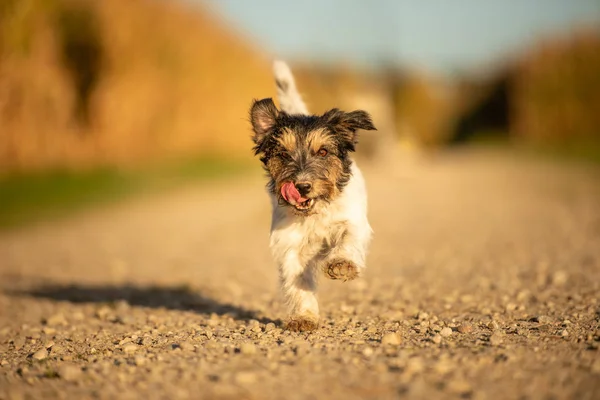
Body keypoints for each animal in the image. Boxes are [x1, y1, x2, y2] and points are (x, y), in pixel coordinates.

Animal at [250, 61, 376, 332]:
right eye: (283, 154)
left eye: (323, 151)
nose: (302, 186)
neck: (315, 213)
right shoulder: (289, 245)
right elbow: (298, 284)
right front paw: (303, 317)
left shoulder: (353, 222)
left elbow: (348, 239)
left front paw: (342, 264)